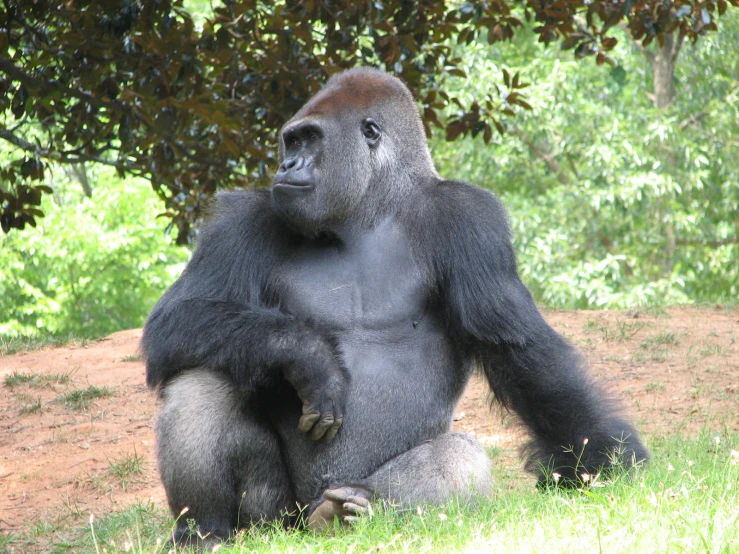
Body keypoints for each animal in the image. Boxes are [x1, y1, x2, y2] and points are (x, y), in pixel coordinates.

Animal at [143, 68, 648, 544]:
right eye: (292, 140)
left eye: (309, 139)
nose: (287, 163)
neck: (369, 209)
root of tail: (309, 523)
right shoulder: (243, 221)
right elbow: (177, 318)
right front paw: (309, 356)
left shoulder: (470, 218)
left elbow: (518, 350)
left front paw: (600, 458)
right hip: (278, 521)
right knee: (201, 377)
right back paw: (206, 529)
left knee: (458, 455)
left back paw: (360, 506)